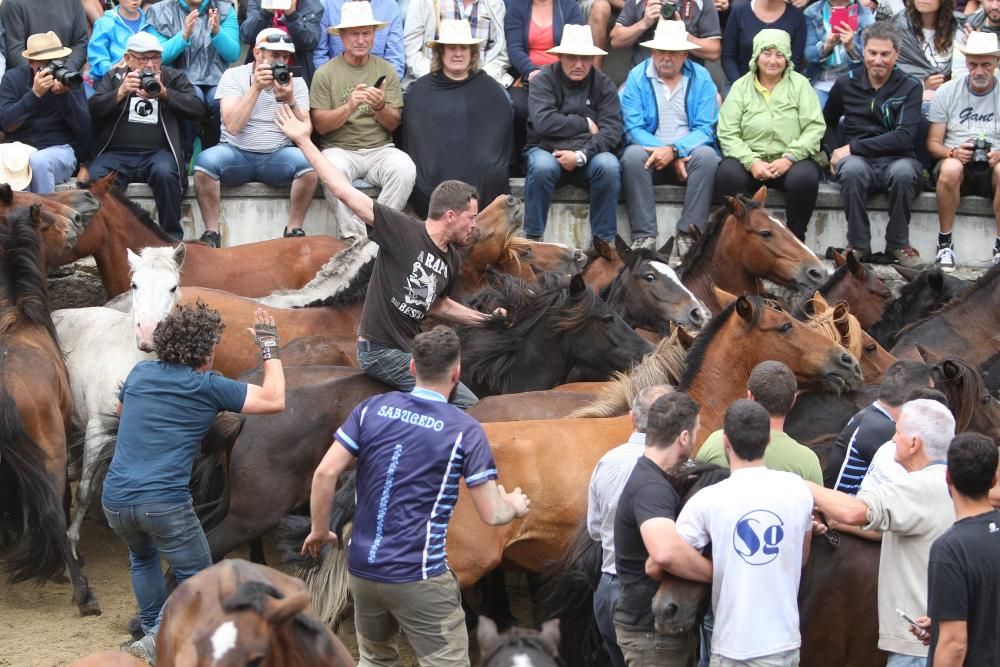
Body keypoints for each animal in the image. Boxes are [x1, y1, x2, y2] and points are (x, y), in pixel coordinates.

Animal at [54, 244, 188, 560]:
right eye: (135, 284)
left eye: (172, 287)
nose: (149, 335)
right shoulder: (97, 432)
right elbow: (85, 490)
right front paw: (72, 542)